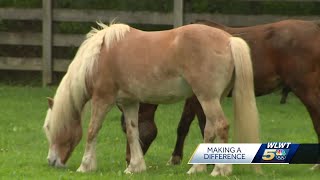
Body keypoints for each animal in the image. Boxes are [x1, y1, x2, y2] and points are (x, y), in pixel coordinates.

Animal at [42, 21, 260, 176]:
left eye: (51, 128)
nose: (51, 162)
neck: (99, 57)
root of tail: (229, 40)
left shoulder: (102, 99)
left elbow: (91, 131)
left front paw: (85, 166)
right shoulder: (129, 102)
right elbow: (133, 132)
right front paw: (134, 167)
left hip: (207, 98)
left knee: (221, 126)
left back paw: (220, 170)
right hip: (213, 99)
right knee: (209, 129)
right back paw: (196, 169)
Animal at [120, 19, 320, 170]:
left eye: (124, 129)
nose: (128, 160)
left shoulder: (201, 98)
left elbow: (201, 125)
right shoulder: (193, 98)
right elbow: (184, 126)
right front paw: (176, 158)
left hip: (305, 89)